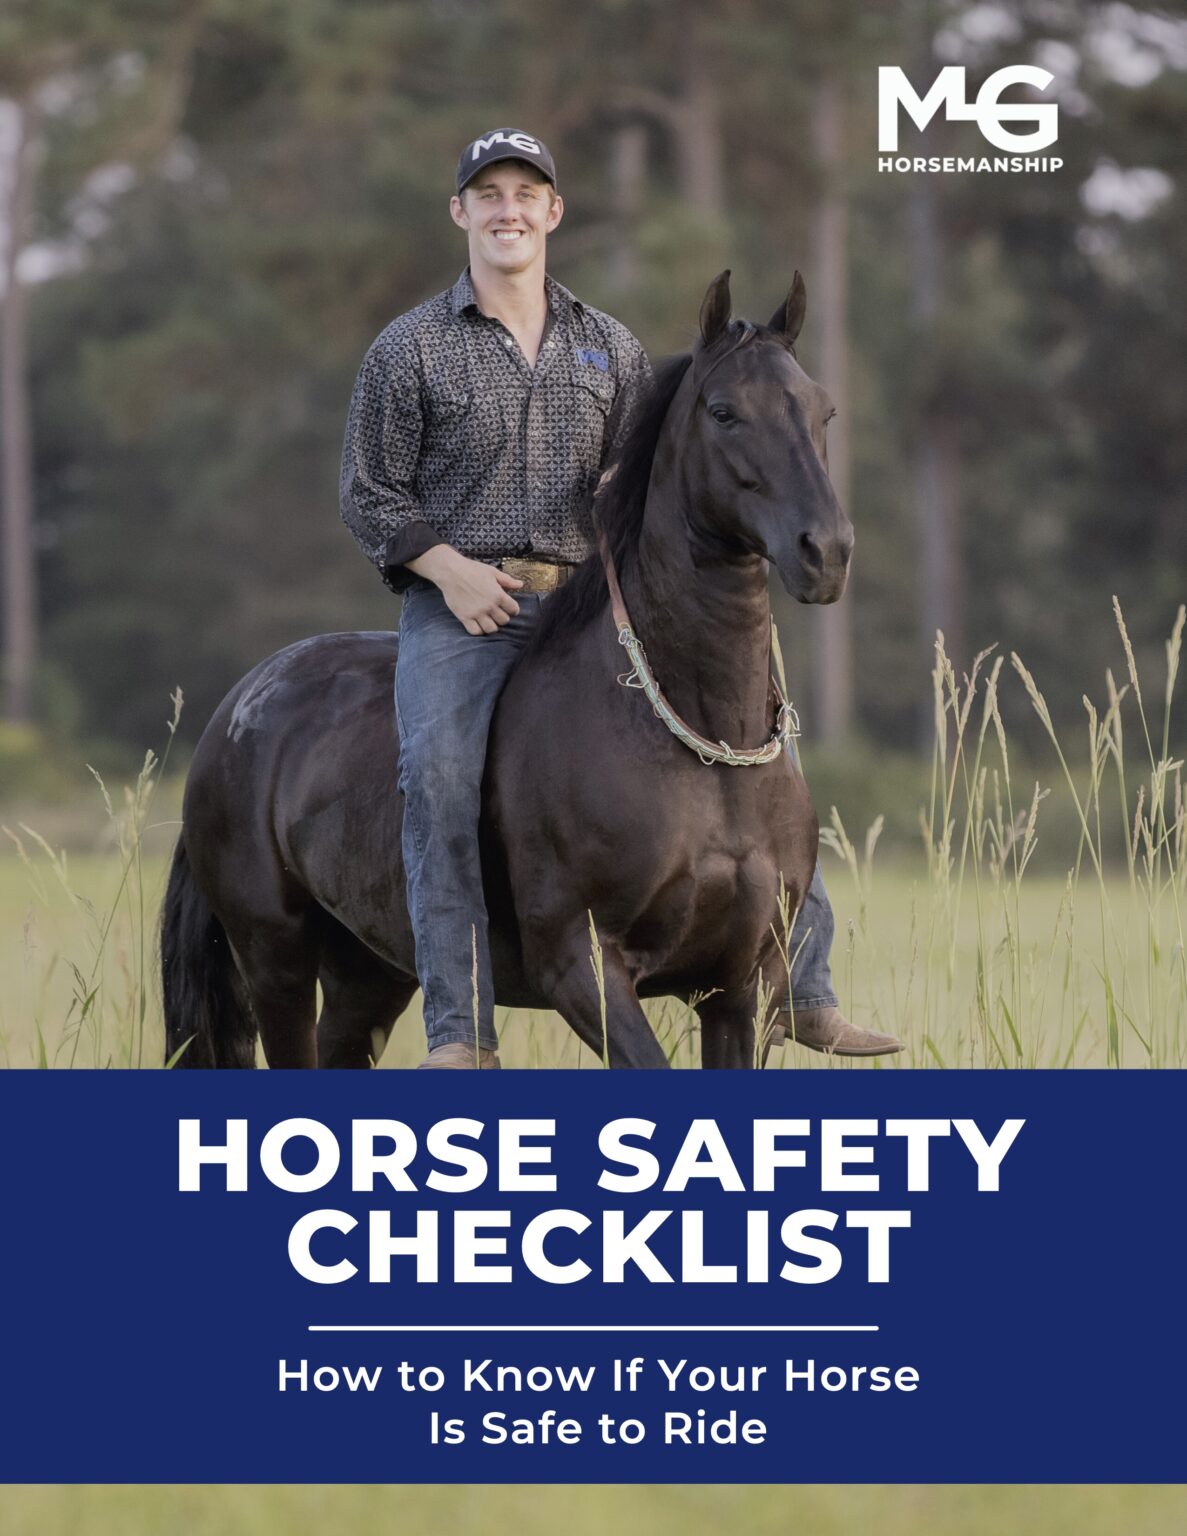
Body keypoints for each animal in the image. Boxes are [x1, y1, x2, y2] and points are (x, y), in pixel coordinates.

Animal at [161, 270, 853, 1069]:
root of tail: (236, 709)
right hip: (273, 959)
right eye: (723, 412)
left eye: (822, 408)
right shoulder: (582, 966)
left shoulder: (740, 985)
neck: (694, 746)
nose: (826, 552)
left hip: (368, 973)